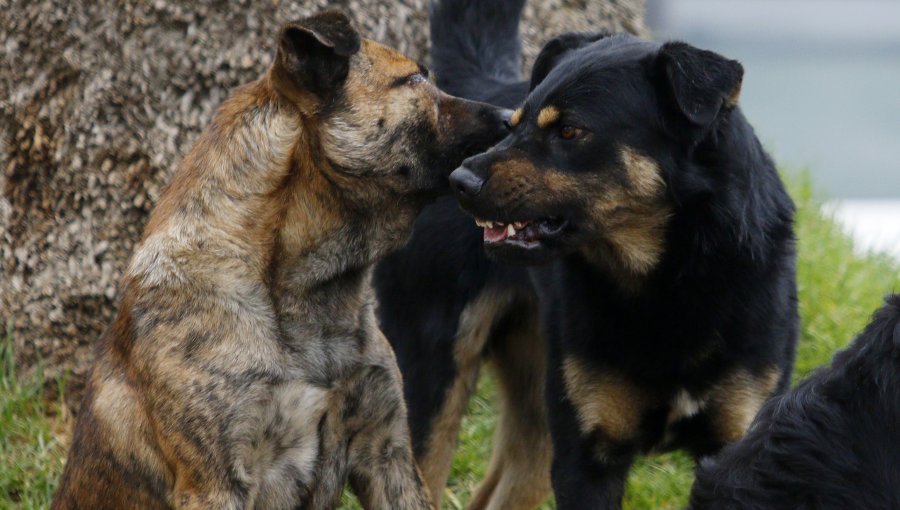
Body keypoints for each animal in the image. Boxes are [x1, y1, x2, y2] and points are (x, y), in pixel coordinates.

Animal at [376, 1, 800, 508]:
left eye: (570, 131)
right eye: (513, 125)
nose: (460, 182)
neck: (671, 280)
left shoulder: (739, 440)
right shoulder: (585, 460)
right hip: (434, 375)